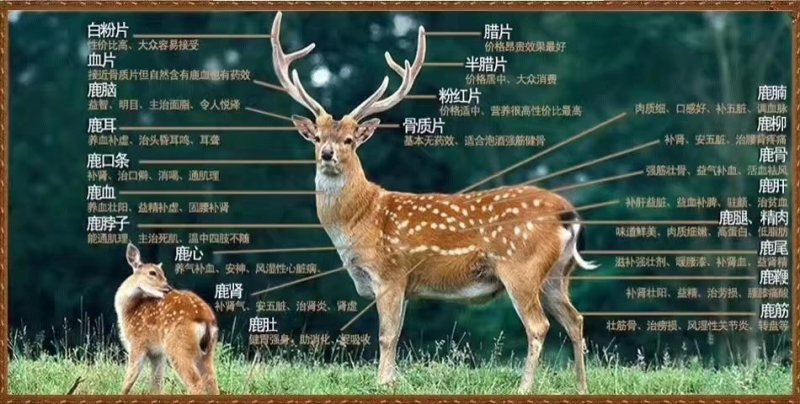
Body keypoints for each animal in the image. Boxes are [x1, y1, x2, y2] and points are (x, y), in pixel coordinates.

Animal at [114, 242, 220, 395]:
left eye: (163, 273)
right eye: (152, 272)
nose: (168, 287)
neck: (129, 310)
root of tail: (206, 318)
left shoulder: (137, 342)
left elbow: (128, 381)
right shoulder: (157, 354)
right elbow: (157, 383)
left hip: (178, 346)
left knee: (196, 383)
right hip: (208, 351)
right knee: (212, 382)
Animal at [268, 11, 598, 394]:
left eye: (350, 140)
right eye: (318, 137)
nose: (327, 154)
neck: (360, 220)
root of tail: (567, 213)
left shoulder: (391, 272)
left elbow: (387, 335)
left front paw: (382, 383)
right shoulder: (404, 285)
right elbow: (396, 334)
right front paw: (394, 380)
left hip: (521, 266)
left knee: (538, 325)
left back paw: (524, 388)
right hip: (557, 275)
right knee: (575, 319)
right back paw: (582, 387)